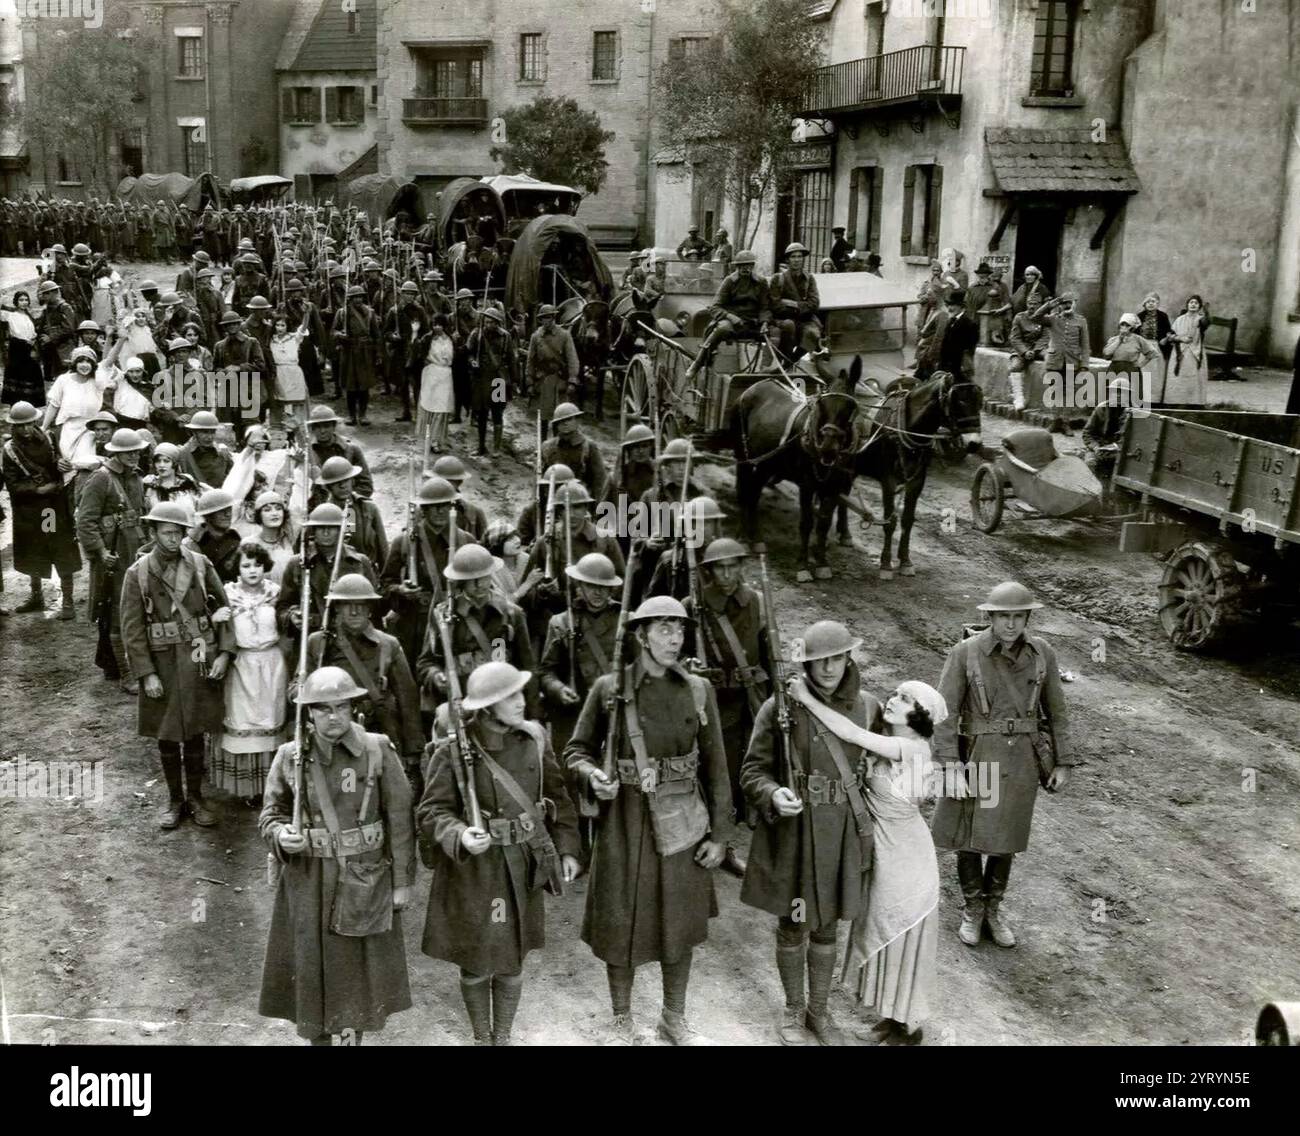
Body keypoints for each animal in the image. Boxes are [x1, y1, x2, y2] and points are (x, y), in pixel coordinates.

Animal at [733, 358, 863, 579]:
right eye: (821, 404)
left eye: (850, 406)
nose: (828, 447)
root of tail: (757, 384)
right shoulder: (807, 485)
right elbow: (806, 523)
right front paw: (802, 565)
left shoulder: (834, 488)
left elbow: (823, 524)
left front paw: (822, 563)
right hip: (745, 458)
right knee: (744, 492)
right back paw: (743, 536)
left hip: (766, 464)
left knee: (754, 494)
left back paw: (756, 538)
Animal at [847, 369, 977, 574]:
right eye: (959, 401)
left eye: (980, 399)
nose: (974, 443)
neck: (905, 428)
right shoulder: (888, 481)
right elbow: (890, 522)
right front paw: (886, 563)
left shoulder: (917, 481)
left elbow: (907, 520)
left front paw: (906, 561)